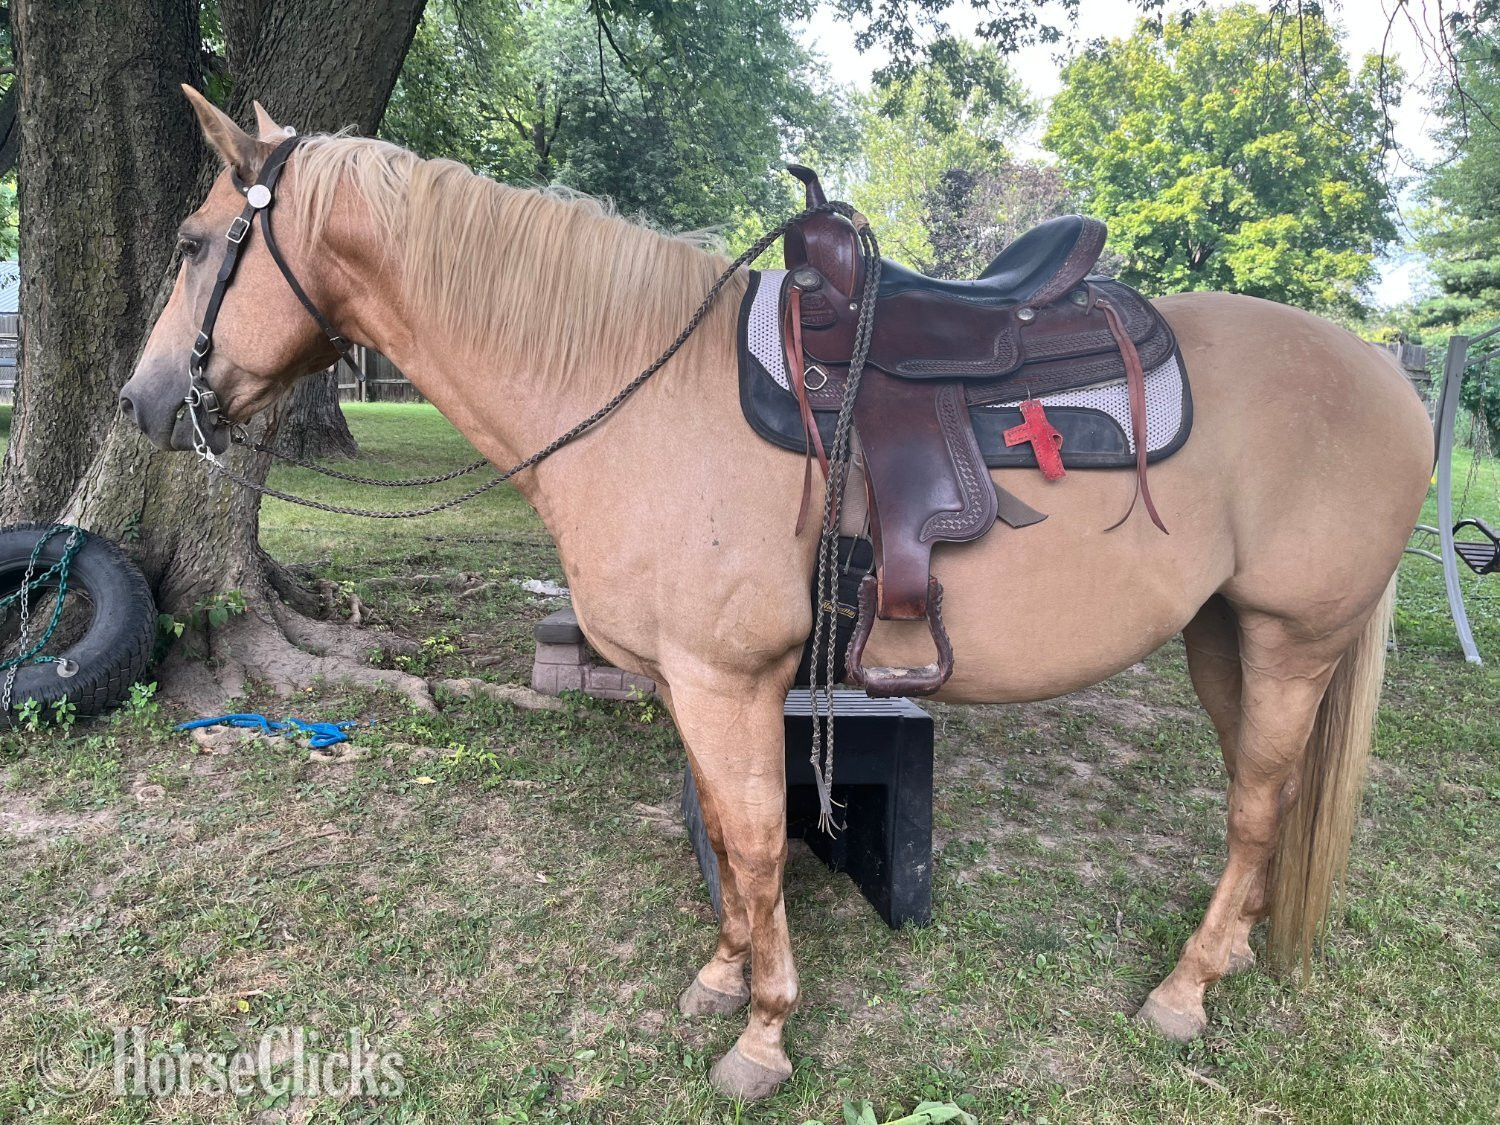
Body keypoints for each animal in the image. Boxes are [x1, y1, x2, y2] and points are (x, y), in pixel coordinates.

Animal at [119, 88, 1434, 1101]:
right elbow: (724, 827)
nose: (141, 405)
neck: (634, 391)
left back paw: (1184, 991)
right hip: (1223, 639)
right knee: (1265, 805)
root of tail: (1386, 373)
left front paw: (764, 1034)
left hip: (1293, 638)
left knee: (1256, 809)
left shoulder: (726, 677)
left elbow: (753, 841)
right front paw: (723, 977)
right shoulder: (689, 685)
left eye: (191, 244)